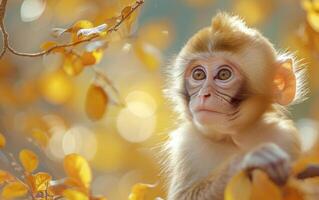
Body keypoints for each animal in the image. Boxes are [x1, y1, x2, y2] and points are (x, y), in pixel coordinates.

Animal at [162, 12, 308, 200]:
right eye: (198, 74)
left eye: (224, 74)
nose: (204, 94)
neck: (234, 137)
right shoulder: (187, 144)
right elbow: (182, 195)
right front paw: (246, 161)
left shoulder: (285, 137)